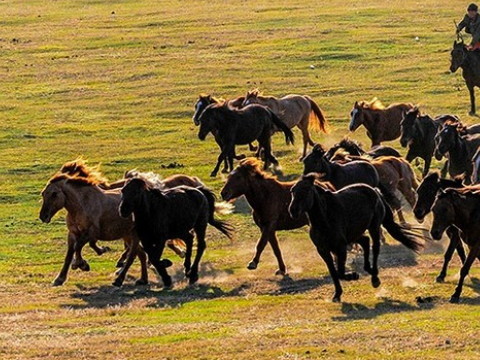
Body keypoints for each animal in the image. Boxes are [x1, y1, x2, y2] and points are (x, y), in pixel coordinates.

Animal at [288, 174, 424, 300]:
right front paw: (337, 294)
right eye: (292, 191)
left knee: (375, 248)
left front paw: (353, 276)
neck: (325, 219)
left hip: (373, 227)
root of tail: (375, 191)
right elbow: (333, 272)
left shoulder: (341, 247)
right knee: (365, 241)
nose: (293, 210)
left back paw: (375, 278)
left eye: (306, 190)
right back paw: (368, 269)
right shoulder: (323, 250)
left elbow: (340, 272)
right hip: (354, 234)